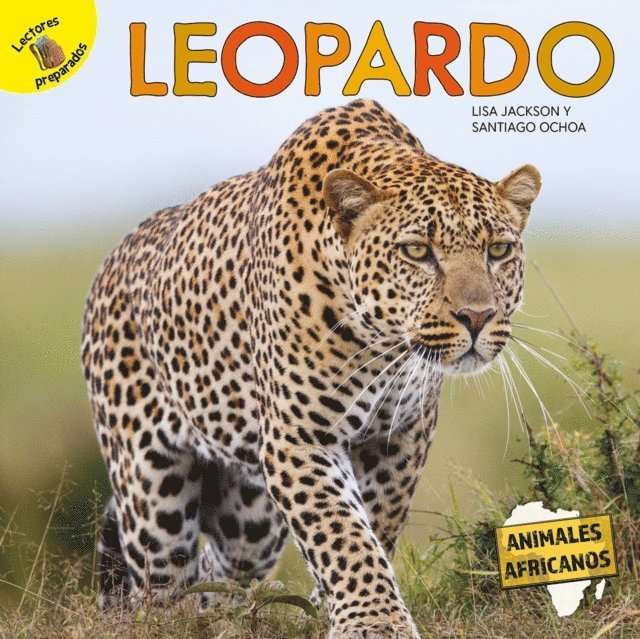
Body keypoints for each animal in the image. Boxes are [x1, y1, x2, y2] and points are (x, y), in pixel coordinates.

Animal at [82, 98, 541, 638]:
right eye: (417, 251)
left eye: (498, 250)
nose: (477, 316)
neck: (381, 343)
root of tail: (111, 261)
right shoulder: (299, 437)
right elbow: (340, 529)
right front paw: (373, 620)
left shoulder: (400, 435)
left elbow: (374, 523)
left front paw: (332, 607)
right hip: (152, 494)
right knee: (162, 586)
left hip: (250, 518)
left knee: (222, 568)